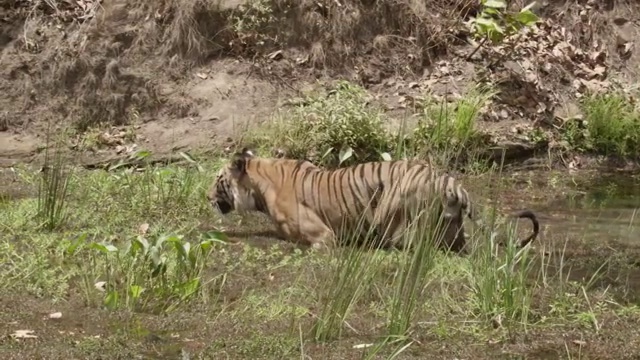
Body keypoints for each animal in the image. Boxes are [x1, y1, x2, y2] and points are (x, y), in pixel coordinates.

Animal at [208, 148, 536, 252]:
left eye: (217, 179)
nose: (208, 196)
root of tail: (449, 179)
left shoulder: (323, 236)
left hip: (394, 212)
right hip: (451, 225)